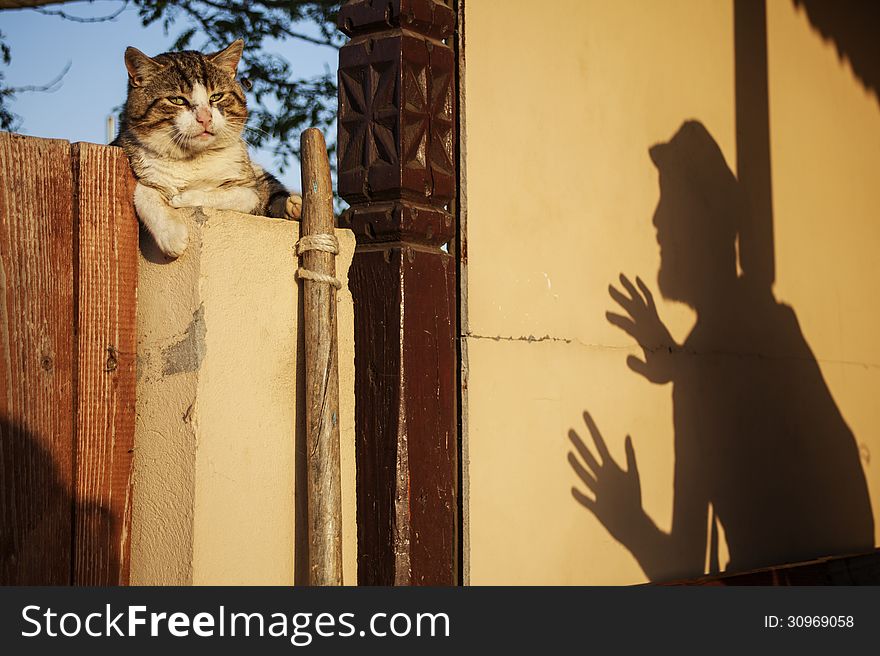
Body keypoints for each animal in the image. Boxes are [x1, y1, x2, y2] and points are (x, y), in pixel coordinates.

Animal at [113, 37, 300, 258]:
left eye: (216, 97)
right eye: (177, 100)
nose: (205, 117)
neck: (193, 159)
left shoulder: (248, 190)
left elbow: (229, 194)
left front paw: (182, 198)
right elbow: (143, 191)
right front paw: (172, 235)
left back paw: (293, 206)